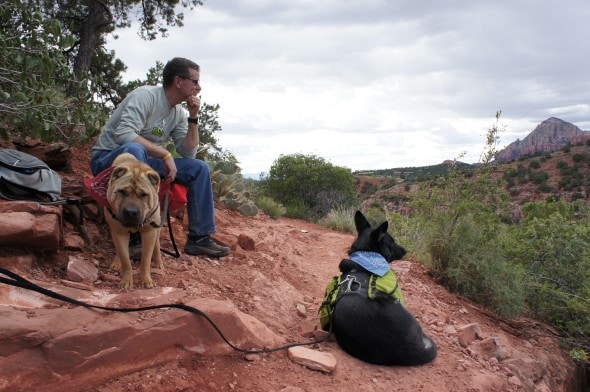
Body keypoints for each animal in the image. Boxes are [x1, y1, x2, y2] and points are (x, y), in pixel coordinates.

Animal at [104, 153, 163, 288]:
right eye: (122, 192)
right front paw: (126, 280)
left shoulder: (149, 233)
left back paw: (158, 262)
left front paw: (147, 280)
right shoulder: (119, 233)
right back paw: (116, 262)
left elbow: (146, 259)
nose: (131, 212)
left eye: (144, 195)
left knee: (157, 245)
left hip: (157, 227)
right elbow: (125, 259)